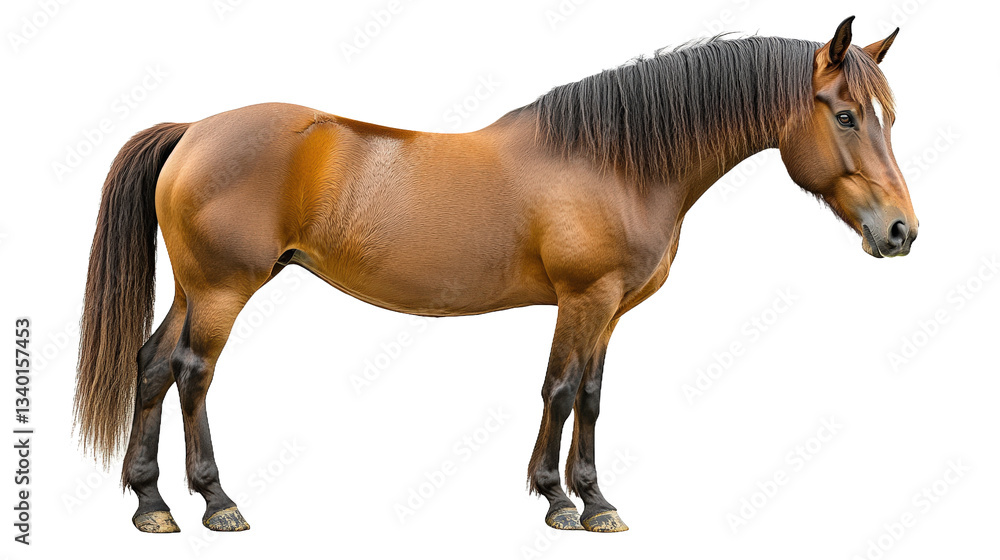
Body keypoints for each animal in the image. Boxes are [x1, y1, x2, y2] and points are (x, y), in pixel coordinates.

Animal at [73, 16, 917, 534]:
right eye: (845, 115)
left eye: (890, 115)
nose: (901, 232)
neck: (615, 161)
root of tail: (194, 130)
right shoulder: (584, 298)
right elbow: (561, 390)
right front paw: (561, 501)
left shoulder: (609, 310)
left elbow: (593, 396)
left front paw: (594, 498)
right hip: (223, 289)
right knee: (192, 372)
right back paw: (216, 502)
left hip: (195, 287)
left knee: (151, 364)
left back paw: (149, 503)